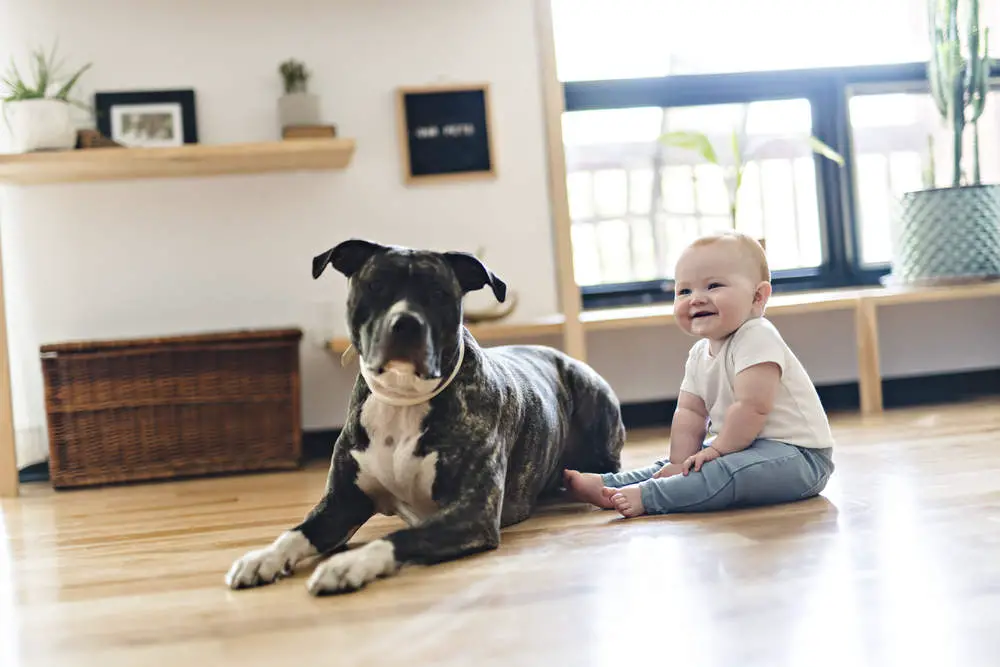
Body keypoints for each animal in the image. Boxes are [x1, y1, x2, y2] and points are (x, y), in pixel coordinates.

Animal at [227, 239, 624, 596]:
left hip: (593, 399)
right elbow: (296, 533)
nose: (406, 323)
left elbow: (401, 535)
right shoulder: (340, 505)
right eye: (375, 285)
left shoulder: (471, 513)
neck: (403, 398)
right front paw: (261, 558)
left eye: (438, 292)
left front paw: (348, 564)